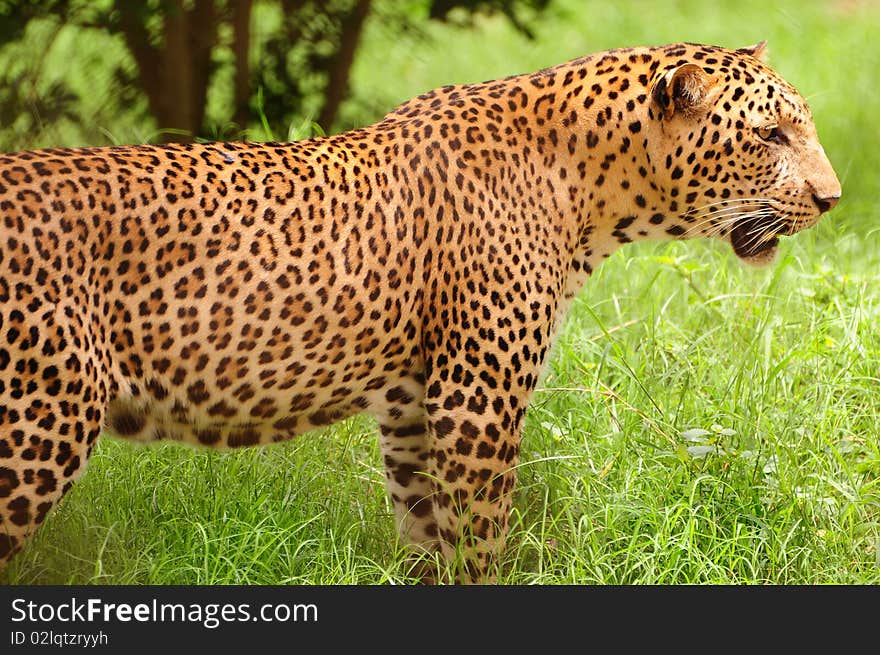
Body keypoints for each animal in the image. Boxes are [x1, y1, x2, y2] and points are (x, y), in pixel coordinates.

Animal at [0, 42, 840, 584]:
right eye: (770, 134)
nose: (832, 199)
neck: (591, 193)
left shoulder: (409, 404)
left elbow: (424, 532)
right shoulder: (478, 396)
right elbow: (479, 540)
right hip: (39, 423)